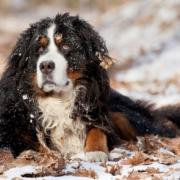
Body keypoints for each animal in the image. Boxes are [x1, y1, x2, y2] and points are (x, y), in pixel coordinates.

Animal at [0, 13, 179, 162]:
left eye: (65, 47)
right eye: (39, 49)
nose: (45, 66)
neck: (58, 99)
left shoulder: (94, 107)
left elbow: (98, 129)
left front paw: (96, 152)